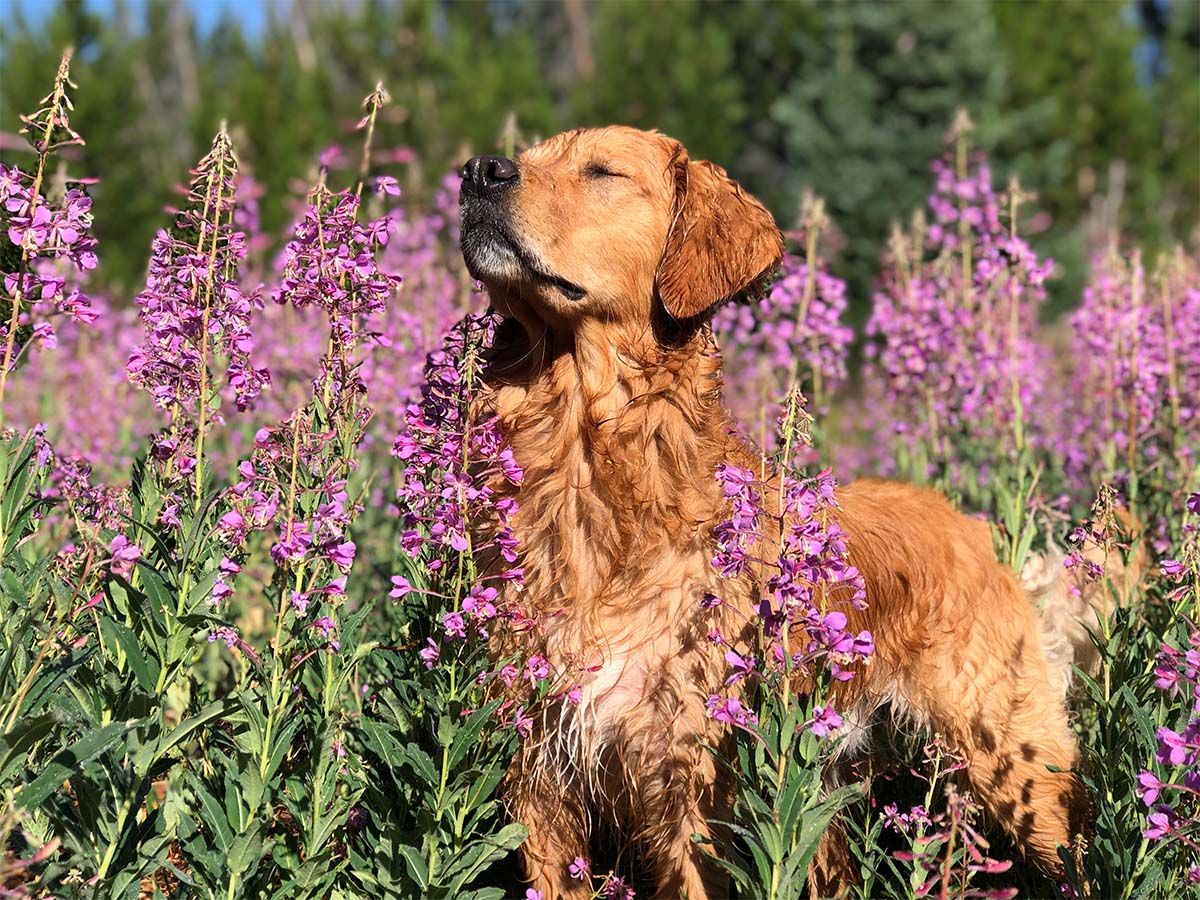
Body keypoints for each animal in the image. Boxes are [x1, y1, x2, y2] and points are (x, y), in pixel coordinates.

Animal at [458, 127, 1089, 900]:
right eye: (528, 154)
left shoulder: (692, 776)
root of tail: (968, 523)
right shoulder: (539, 771)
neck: (592, 469)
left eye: (602, 171)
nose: (478, 172)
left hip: (1014, 758)